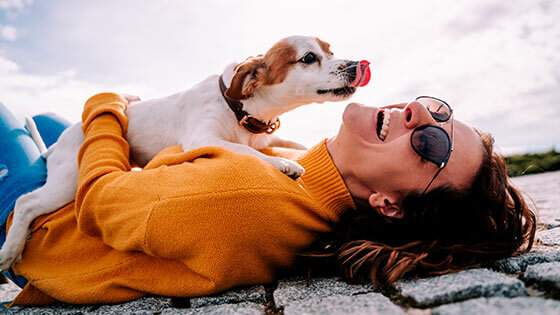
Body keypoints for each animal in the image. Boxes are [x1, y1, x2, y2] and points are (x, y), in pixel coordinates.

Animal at [0, 35, 372, 272]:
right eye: (308, 58)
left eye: (331, 50)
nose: (357, 64)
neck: (240, 108)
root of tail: (61, 140)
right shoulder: (202, 138)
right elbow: (244, 150)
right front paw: (283, 163)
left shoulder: (263, 137)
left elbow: (290, 144)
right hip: (69, 180)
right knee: (26, 202)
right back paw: (10, 250)